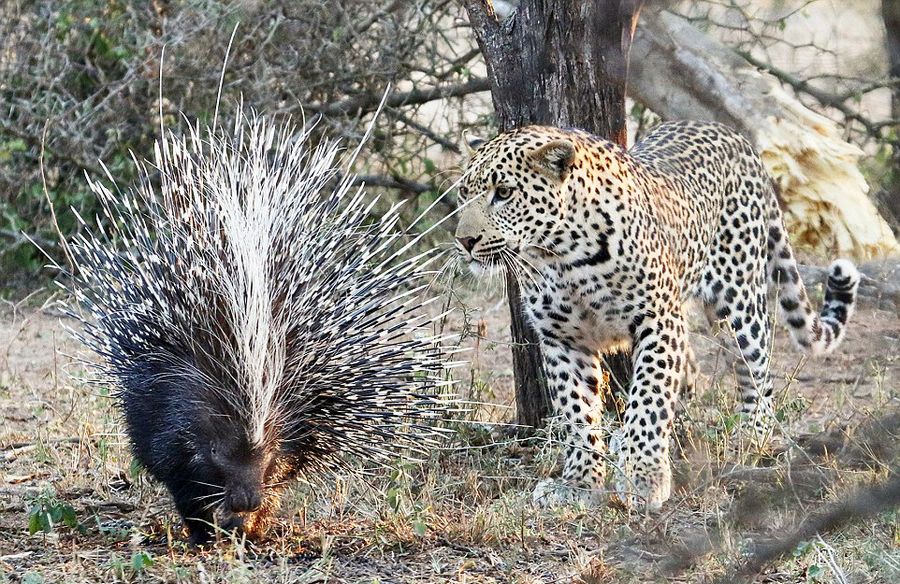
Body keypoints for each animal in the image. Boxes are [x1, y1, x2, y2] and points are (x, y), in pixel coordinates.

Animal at [454, 121, 860, 508]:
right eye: (462, 194)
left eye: (504, 193)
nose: (464, 241)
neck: (561, 257)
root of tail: (734, 136)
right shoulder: (562, 339)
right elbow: (577, 413)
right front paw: (579, 483)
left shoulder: (658, 320)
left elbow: (650, 399)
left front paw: (644, 478)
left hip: (739, 300)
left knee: (756, 370)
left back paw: (753, 437)